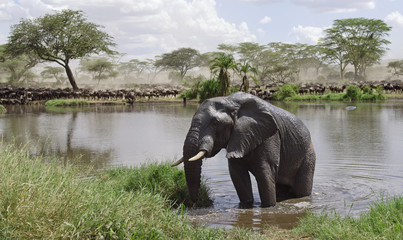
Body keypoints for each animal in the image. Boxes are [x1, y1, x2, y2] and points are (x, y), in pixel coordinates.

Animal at [172, 92, 318, 208]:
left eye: (215, 123)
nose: (195, 204)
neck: (230, 101)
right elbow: (237, 174)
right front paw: (246, 206)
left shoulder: (270, 136)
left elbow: (264, 171)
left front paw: (269, 207)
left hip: (308, 155)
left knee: (301, 190)